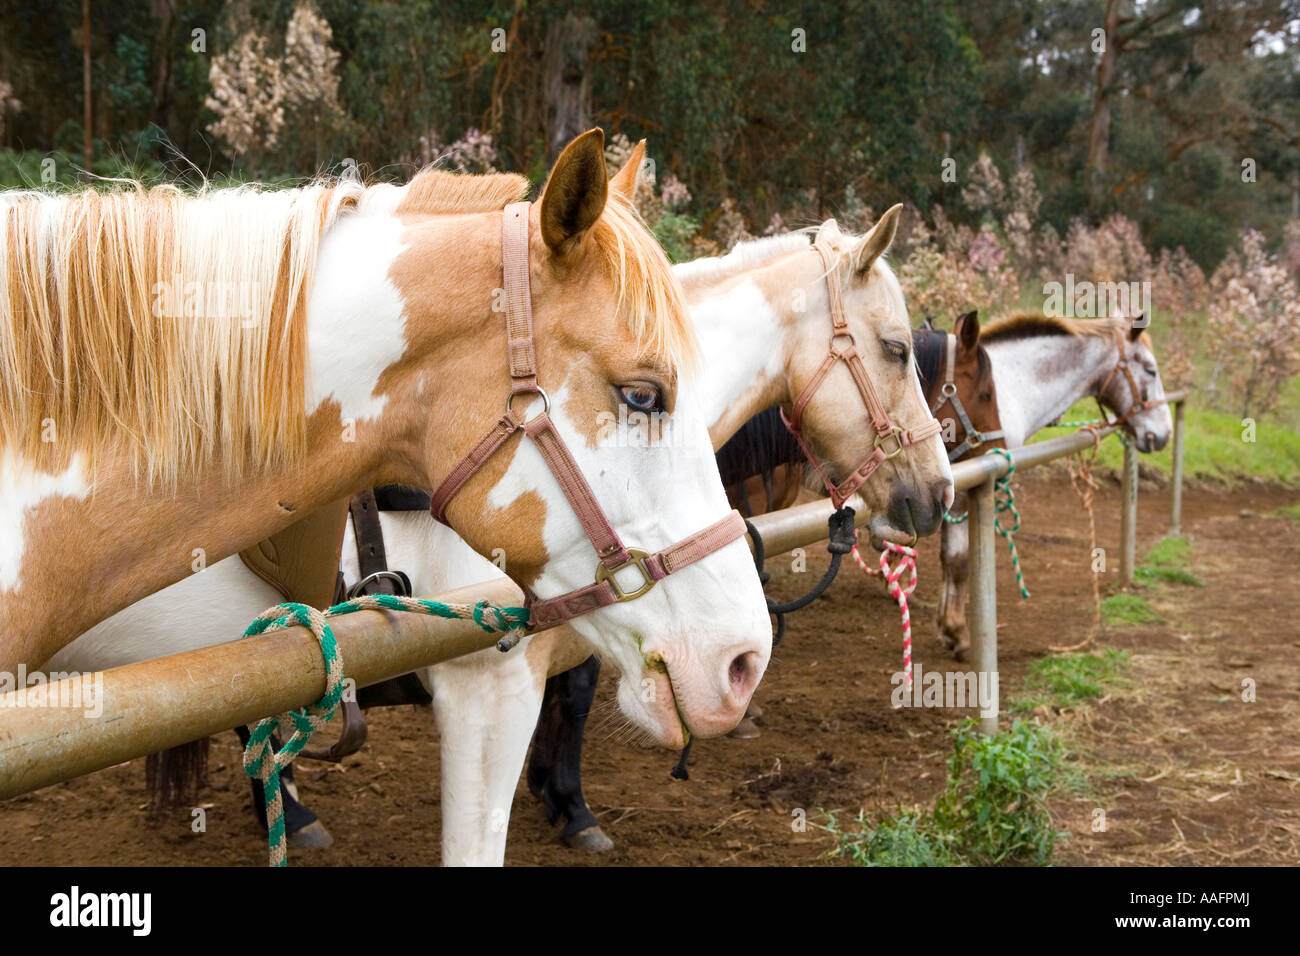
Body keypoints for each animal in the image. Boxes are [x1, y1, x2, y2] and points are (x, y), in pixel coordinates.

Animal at [52, 194, 954, 863]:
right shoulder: (489, 686)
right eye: (896, 349)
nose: (937, 492)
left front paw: (568, 805)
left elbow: (578, 699)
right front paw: (566, 804)